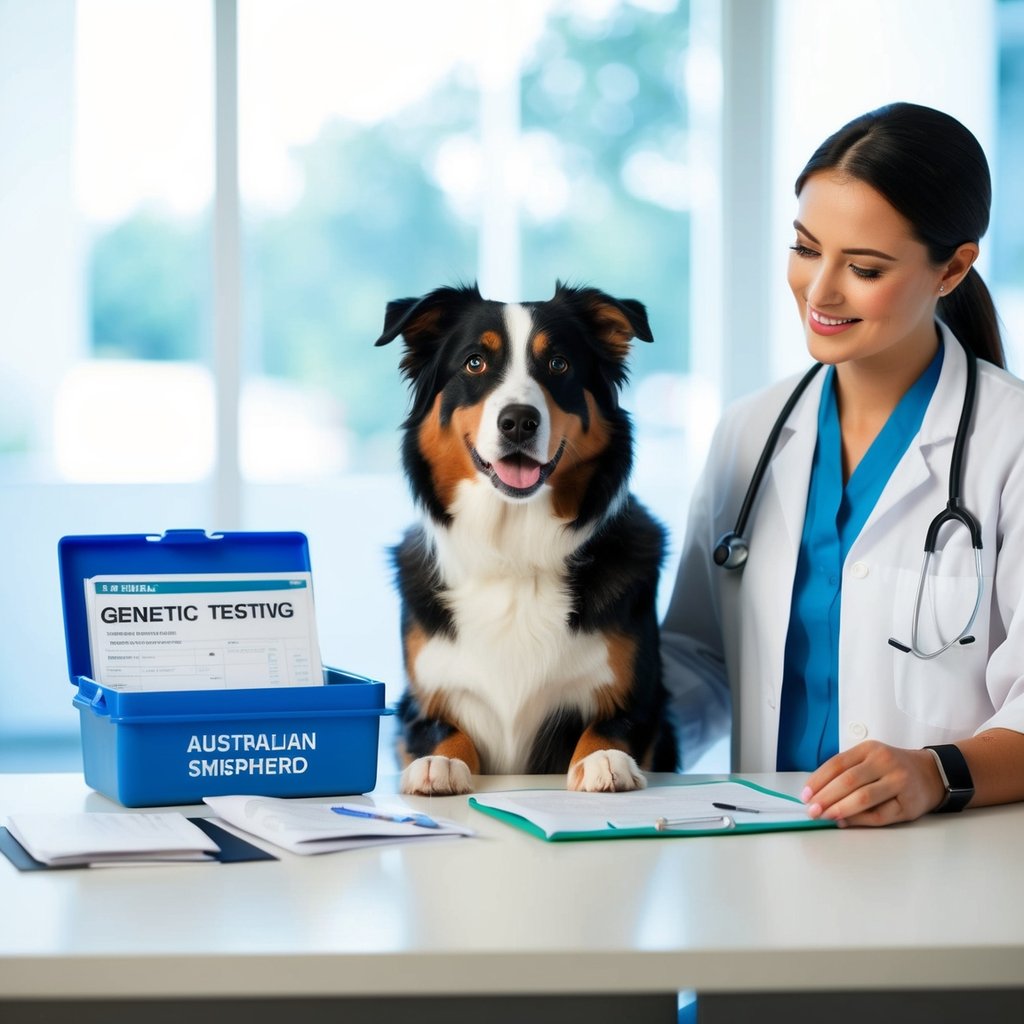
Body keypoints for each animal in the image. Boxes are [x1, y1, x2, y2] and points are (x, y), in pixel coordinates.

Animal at [372, 284, 675, 794]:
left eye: (559, 364)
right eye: (475, 362)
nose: (518, 421)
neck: (514, 551)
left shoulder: (644, 700)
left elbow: (610, 725)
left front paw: (602, 758)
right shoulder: (417, 704)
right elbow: (441, 729)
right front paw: (440, 763)